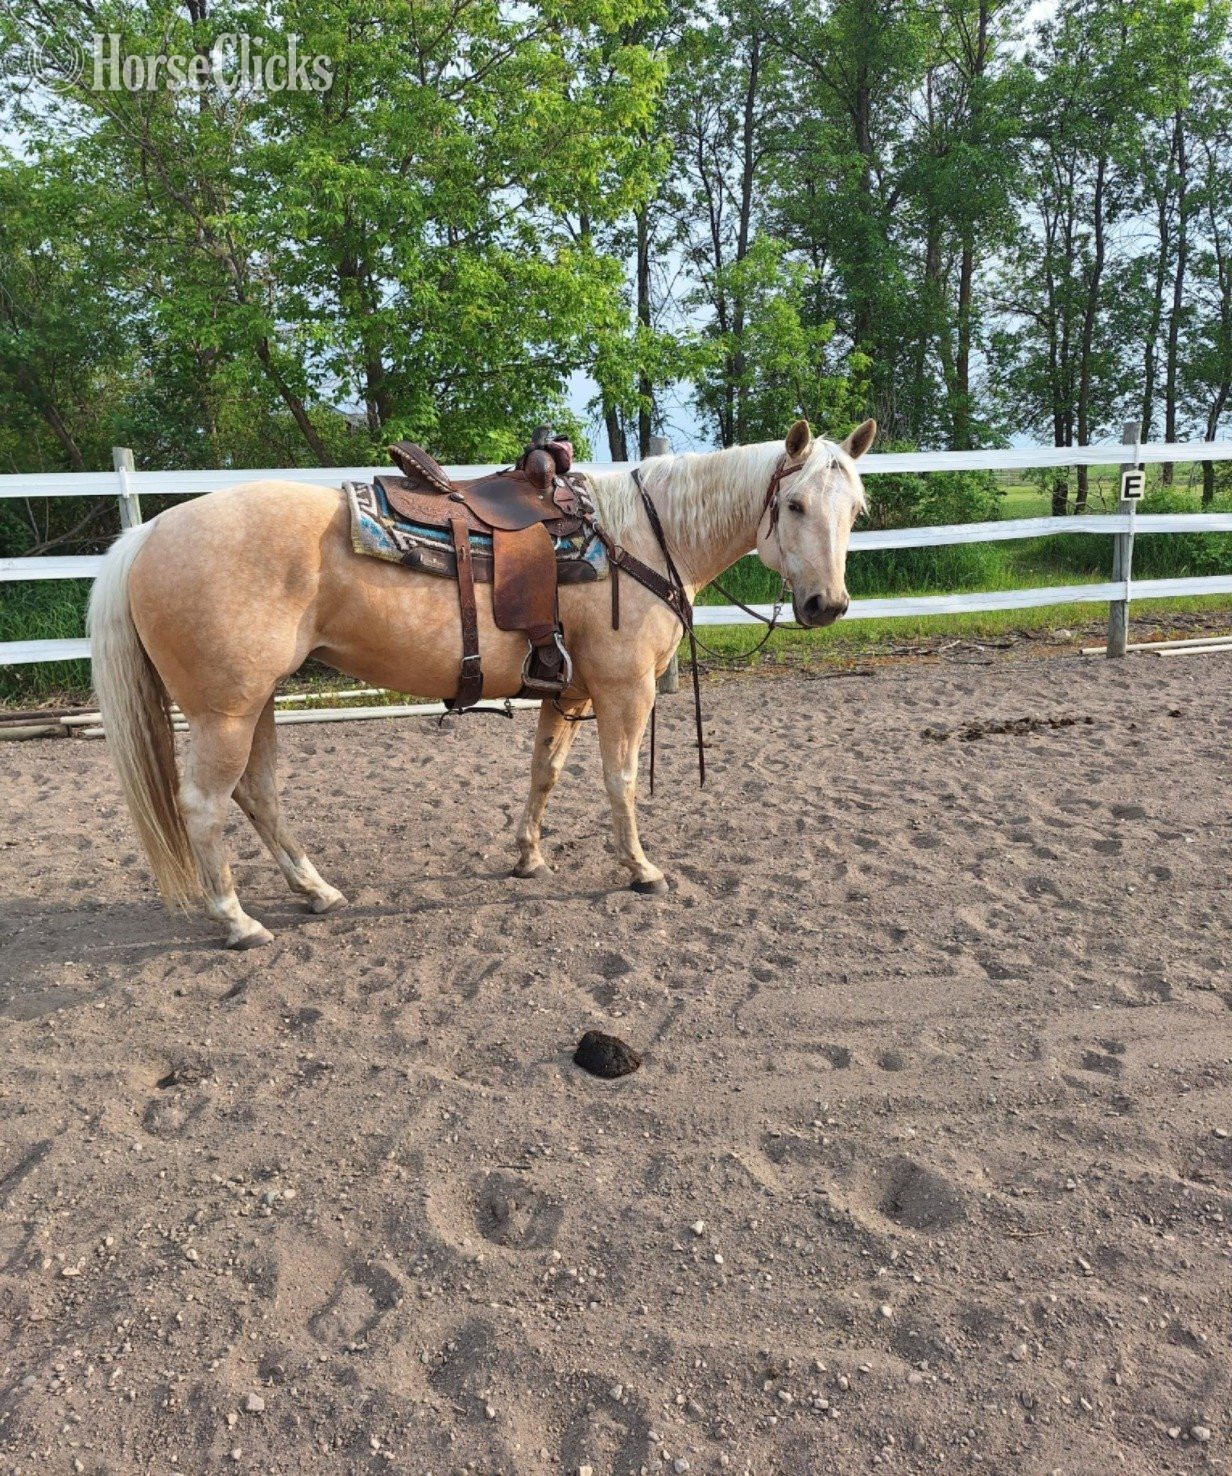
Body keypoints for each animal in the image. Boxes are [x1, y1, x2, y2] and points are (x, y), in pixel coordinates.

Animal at [87, 417, 875, 947]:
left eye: (856, 508)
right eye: (795, 505)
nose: (827, 605)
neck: (639, 540)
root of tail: (146, 534)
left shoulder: (568, 692)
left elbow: (543, 773)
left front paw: (528, 858)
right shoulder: (624, 692)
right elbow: (618, 780)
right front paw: (640, 869)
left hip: (259, 706)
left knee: (259, 794)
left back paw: (317, 892)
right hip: (224, 712)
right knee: (205, 806)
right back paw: (239, 921)